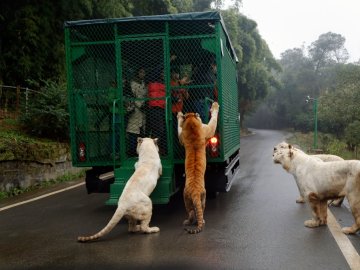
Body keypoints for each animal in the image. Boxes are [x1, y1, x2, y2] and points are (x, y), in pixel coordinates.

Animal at [177, 102, 219, 233]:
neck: (191, 124)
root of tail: (195, 192)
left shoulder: (182, 137)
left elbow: (179, 127)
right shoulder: (208, 130)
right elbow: (213, 121)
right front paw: (215, 106)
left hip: (190, 199)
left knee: (193, 212)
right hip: (197, 199)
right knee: (195, 213)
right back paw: (193, 221)